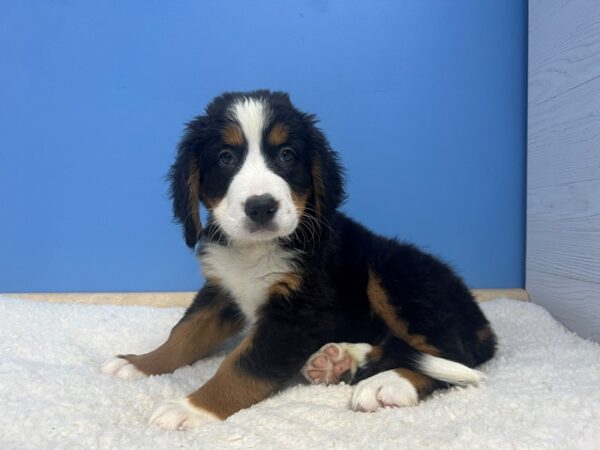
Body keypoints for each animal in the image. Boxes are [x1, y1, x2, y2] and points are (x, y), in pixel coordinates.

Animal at [103, 89, 496, 430]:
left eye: (287, 155)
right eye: (226, 157)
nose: (261, 206)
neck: (256, 250)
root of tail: (479, 318)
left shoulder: (297, 314)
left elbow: (241, 365)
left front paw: (191, 407)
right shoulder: (221, 291)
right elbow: (184, 334)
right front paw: (140, 364)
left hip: (394, 274)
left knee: (454, 357)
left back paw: (390, 384)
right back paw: (340, 361)